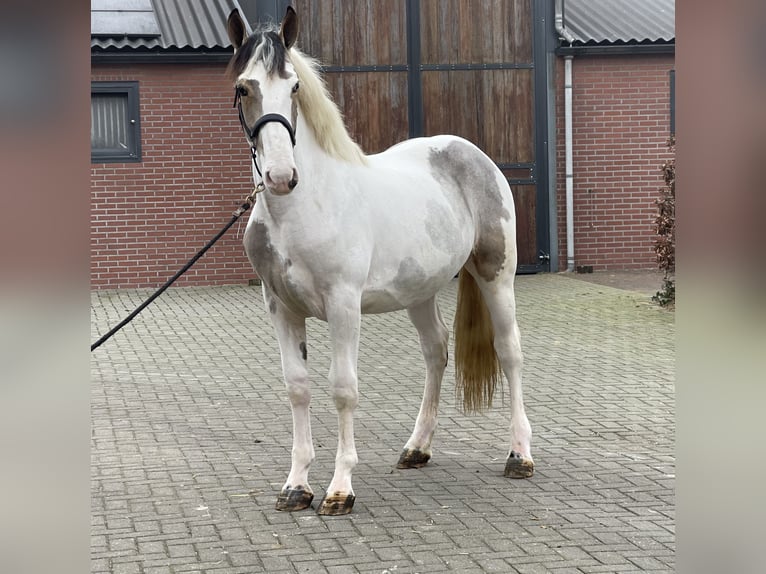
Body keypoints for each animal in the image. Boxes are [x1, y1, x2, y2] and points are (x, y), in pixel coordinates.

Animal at [222, 5, 536, 516]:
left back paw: (520, 456)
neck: (305, 209)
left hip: (497, 275)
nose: (281, 176)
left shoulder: (343, 305)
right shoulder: (281, 308)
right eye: (243, 88)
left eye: (294, 87)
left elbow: (343, 389)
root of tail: (472, 155)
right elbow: (298, 387)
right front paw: (296, 486)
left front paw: (339, 489)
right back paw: (416, 448)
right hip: (420, 290)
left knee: (509, 351)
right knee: (436, 350)